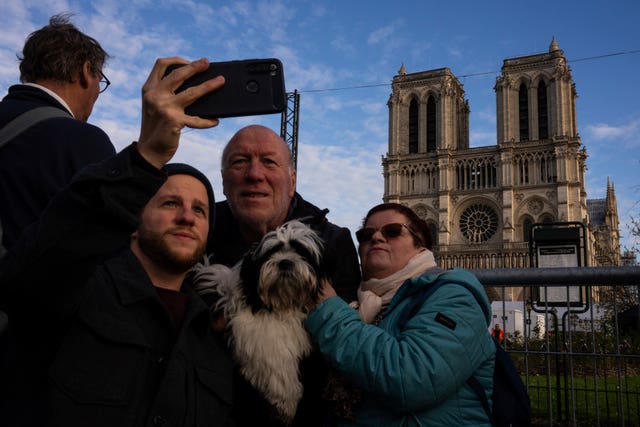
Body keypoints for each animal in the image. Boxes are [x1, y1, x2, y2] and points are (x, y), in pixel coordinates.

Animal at [192, 221, 328, 424]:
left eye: (301, 252)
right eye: (270, 253)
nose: (285, 262)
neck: (279, 304)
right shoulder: (258, 336)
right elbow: (278, 364)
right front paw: (287, 402)